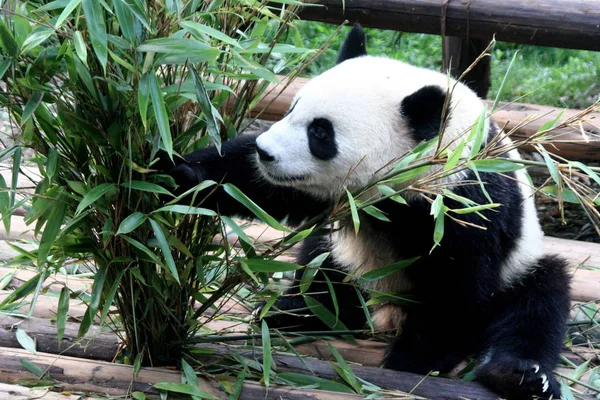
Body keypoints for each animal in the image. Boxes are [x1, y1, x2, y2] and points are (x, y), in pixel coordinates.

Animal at [161, 26, 572, 398]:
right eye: (292, 108)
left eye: (320, 133)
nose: (266, 152)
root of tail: (385, 311)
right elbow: (254, 184)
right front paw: (179, 174)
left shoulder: (466, 198)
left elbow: (460, 286)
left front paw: (416, 358)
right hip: (345, 259)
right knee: (323, 274)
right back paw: (294, 312)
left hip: (521, 265)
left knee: (538, 302)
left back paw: (520, 376)